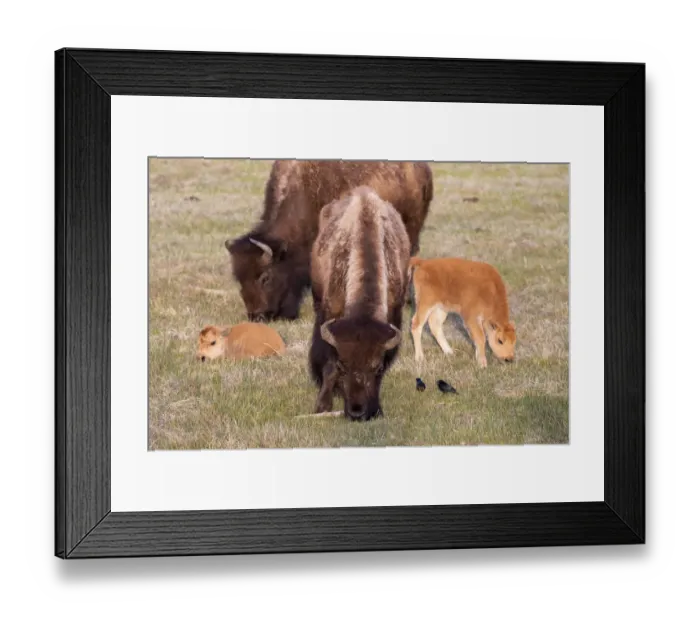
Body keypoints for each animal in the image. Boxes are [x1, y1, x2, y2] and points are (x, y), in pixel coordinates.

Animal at [308, 186, 411, 421]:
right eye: (343, 365)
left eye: (376, 368)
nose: (357, 411)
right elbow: (328, 366)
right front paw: (322, 406)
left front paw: (378, 409)